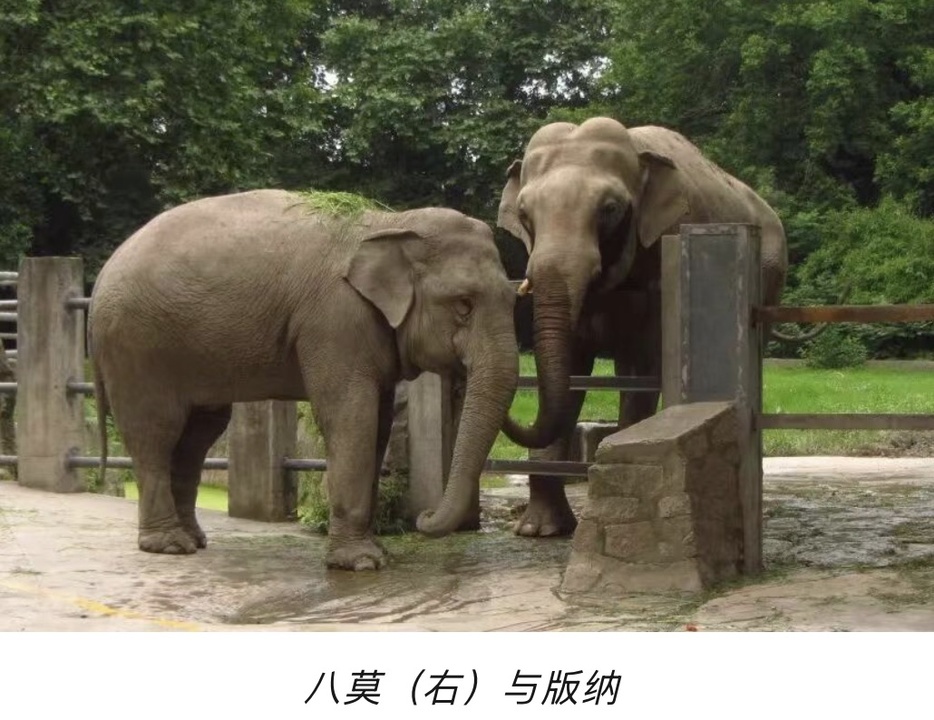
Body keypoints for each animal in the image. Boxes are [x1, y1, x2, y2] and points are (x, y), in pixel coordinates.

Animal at [88, 189, 519, 571]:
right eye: (463, 304)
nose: (424, 516)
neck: (392, 222)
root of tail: (100, 279)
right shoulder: (334, 321)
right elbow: (351, 416)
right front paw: (361, 563)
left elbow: (377, 424)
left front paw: (379, 553)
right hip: (138, 347)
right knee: (155, 433)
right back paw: (168, 546)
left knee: (198, 434)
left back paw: (193, 540)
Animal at [497, 116, 788, 537]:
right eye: (524, 215)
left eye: (610, 209)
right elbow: (570, 371)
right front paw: (540, 531)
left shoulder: (660, 269)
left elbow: (641, 368)